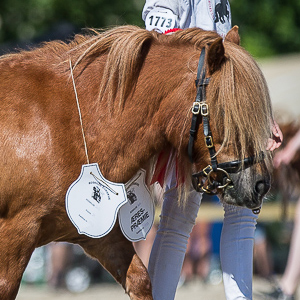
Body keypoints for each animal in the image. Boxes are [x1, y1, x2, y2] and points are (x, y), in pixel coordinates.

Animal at [0, 24, 272, 298]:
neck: (62, 125)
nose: (260, 184)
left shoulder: (100, 236)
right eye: (228, 110)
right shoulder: (15, 236)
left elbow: (141, 279)